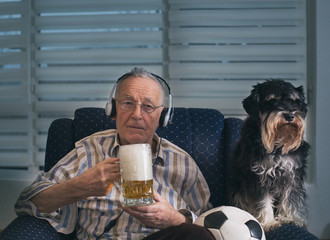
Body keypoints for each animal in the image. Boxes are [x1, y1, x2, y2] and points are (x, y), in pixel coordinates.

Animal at [229, 79, 310, 232]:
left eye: (293, 101)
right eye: (272, 101)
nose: (290, 116)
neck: (277, 143)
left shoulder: (292, 175)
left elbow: (290, 197)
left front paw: (289, 218)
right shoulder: (258, 176)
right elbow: (263, 201)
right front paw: (268, 222)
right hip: (238, 191)